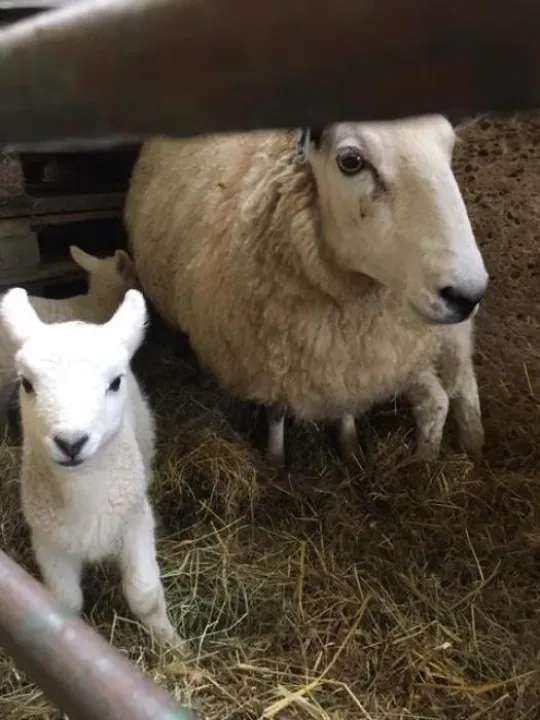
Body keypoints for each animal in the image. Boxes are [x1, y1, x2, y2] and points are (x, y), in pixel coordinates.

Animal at [0, 287, 181, 648]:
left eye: (115, 382)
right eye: (27, 384)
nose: (71, 442)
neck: (82, 492)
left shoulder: (135, 521)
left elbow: (145, 594)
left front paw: (172, 645)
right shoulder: (47, 539)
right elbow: (66, 604)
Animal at [124, 115, 489, 467]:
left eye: (449, 147)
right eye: (351, 161)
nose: (468, 294)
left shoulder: (350, 361)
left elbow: (346, 402)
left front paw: (349, 448)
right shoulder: (272, 360)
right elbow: (276, 411)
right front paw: (276, 460)